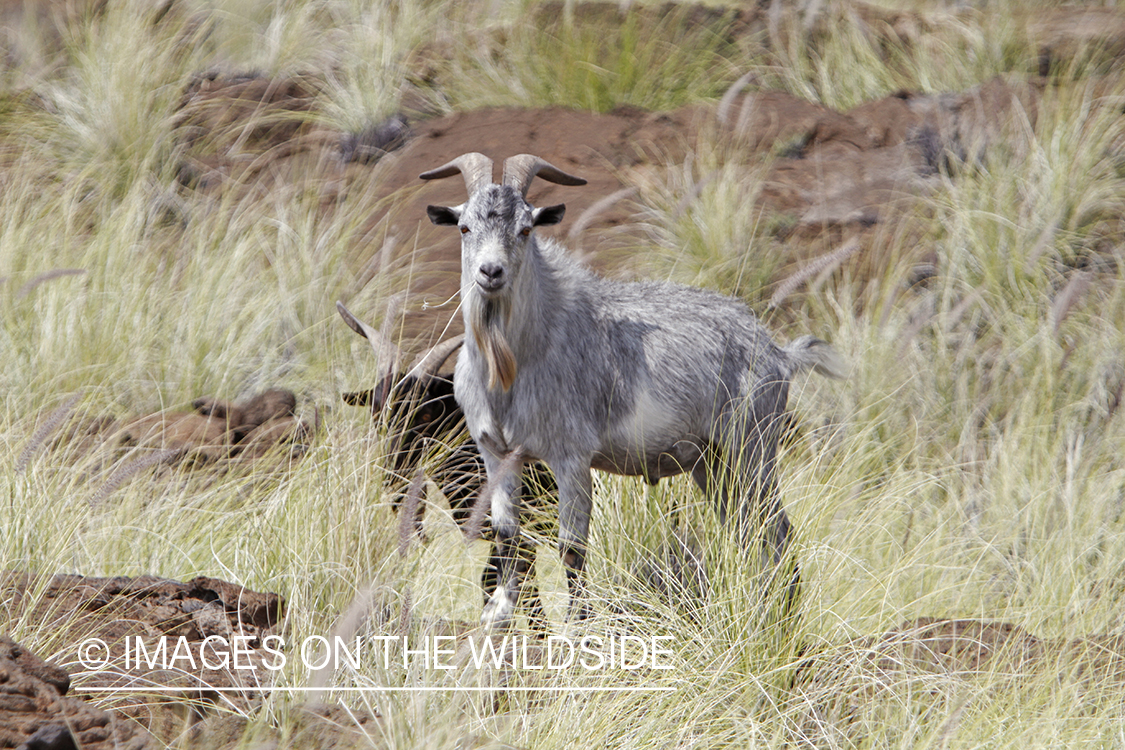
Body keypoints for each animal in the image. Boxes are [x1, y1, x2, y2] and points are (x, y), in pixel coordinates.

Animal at [423, 154, 846, 629]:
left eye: (526, 228)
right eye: (464, 227)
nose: (491, 272)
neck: (515, 366)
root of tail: (779, 354)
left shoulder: (571, 456)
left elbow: (572, 546)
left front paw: (579, 624)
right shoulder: (497, 455)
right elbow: (507, 534)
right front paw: (499, 613)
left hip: (751, 449)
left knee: (775, 528)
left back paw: (782, 618)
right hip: (711, 464)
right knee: (747, 530)